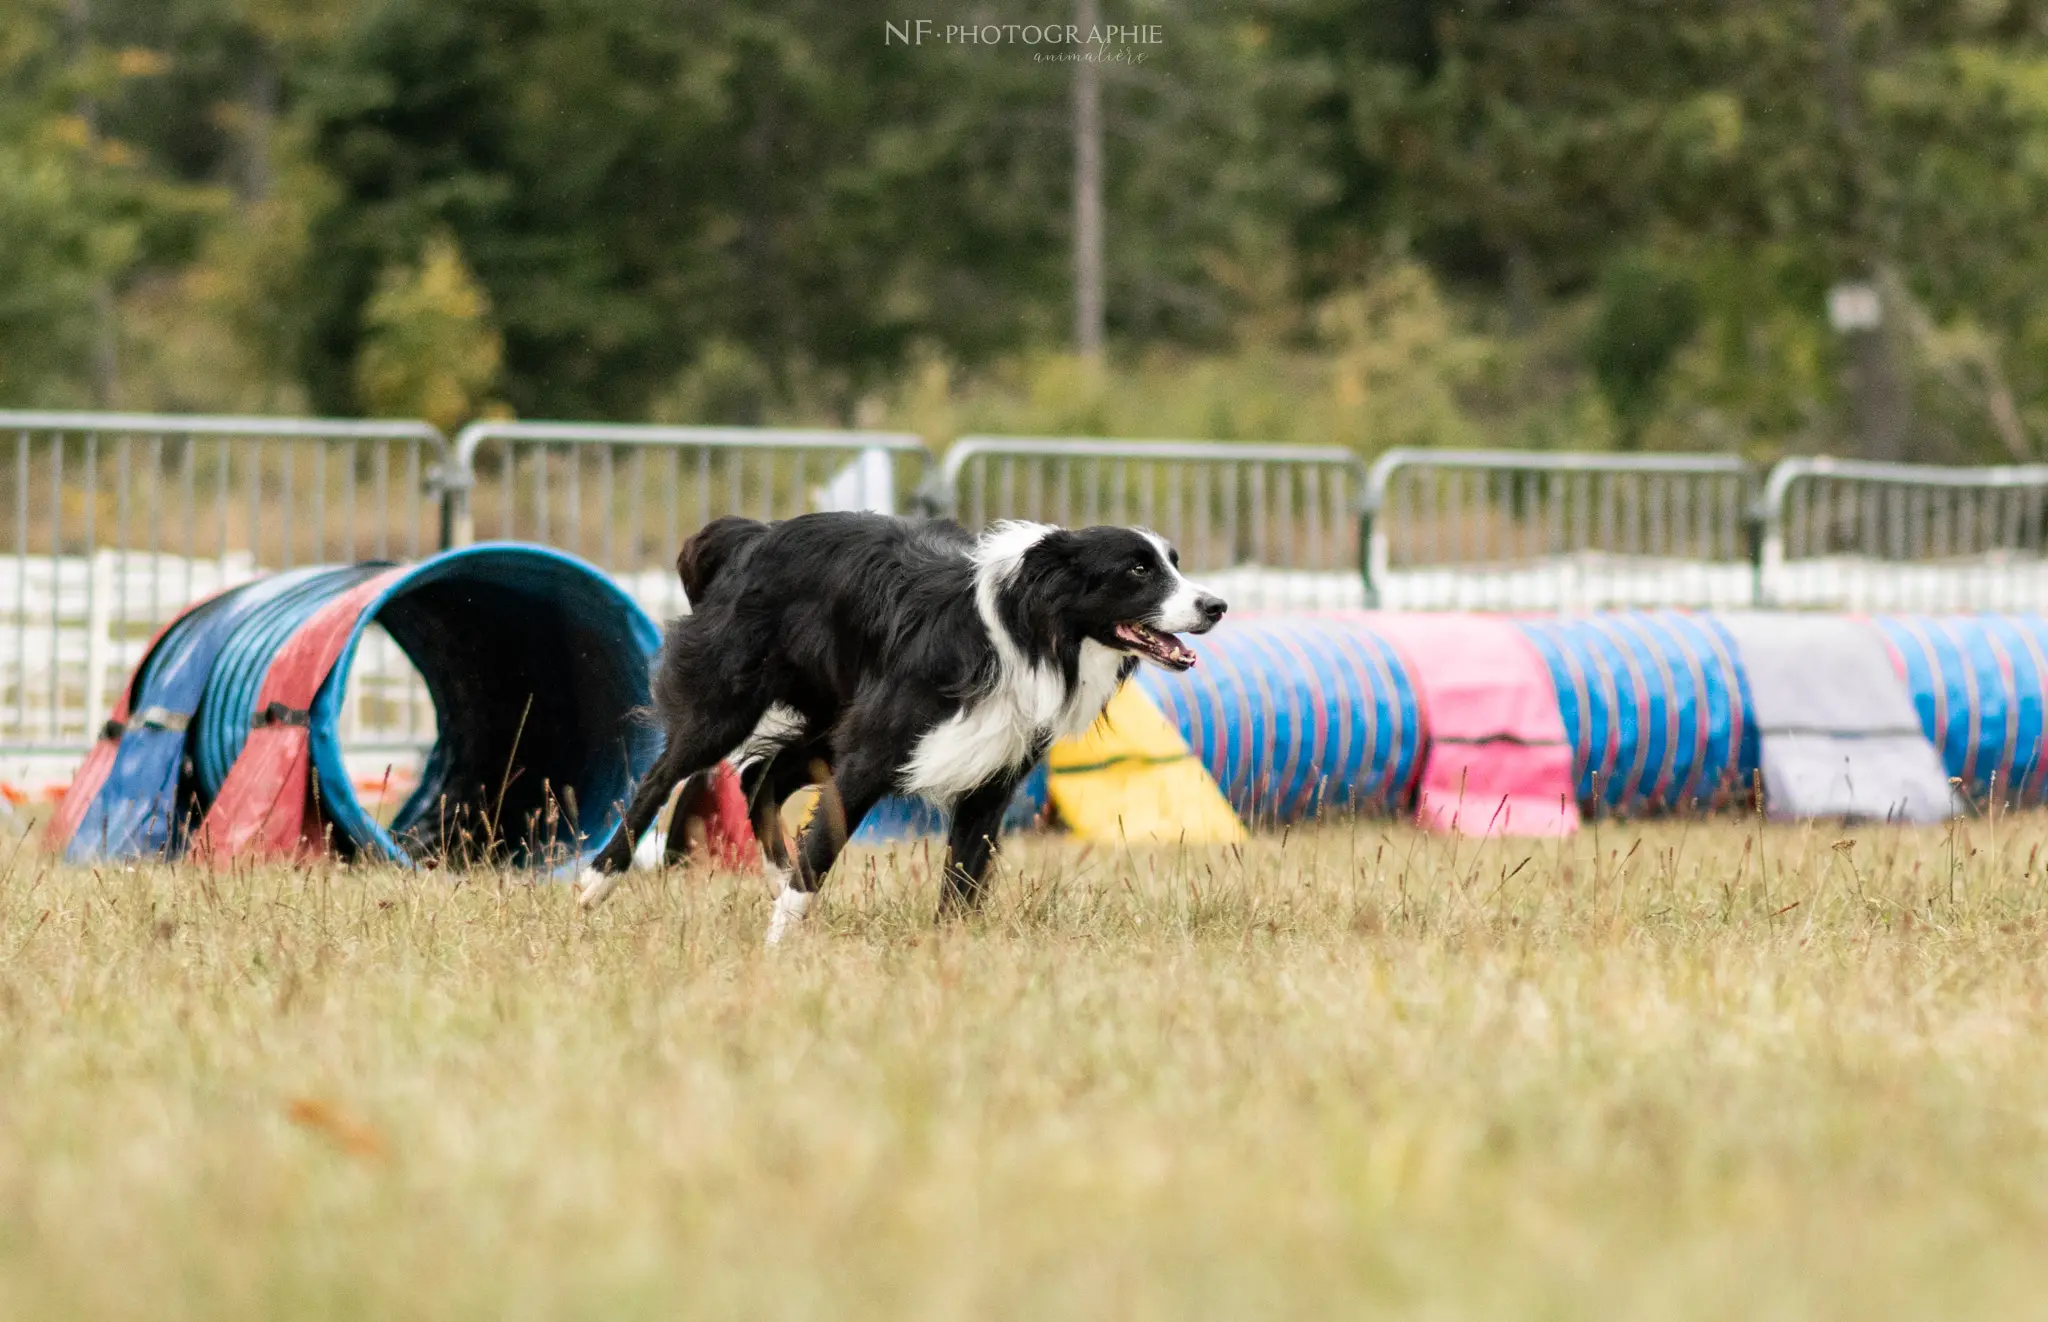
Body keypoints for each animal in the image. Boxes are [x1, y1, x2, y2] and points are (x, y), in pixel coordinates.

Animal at [569, 509, 1220, 941]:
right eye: (1138, 569)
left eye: (1173, 563)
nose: (1216, 606)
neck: (1023, 629)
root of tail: (755, 534)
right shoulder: (872, 753)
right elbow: (824, 847)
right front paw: (781, 942)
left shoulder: (992, 773)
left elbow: (963, 875)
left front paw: (950, 952)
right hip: (729, 707)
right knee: (663, 779)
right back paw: (594, 885)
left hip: (831, 724)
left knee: (761, 775)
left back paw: (775, 866)